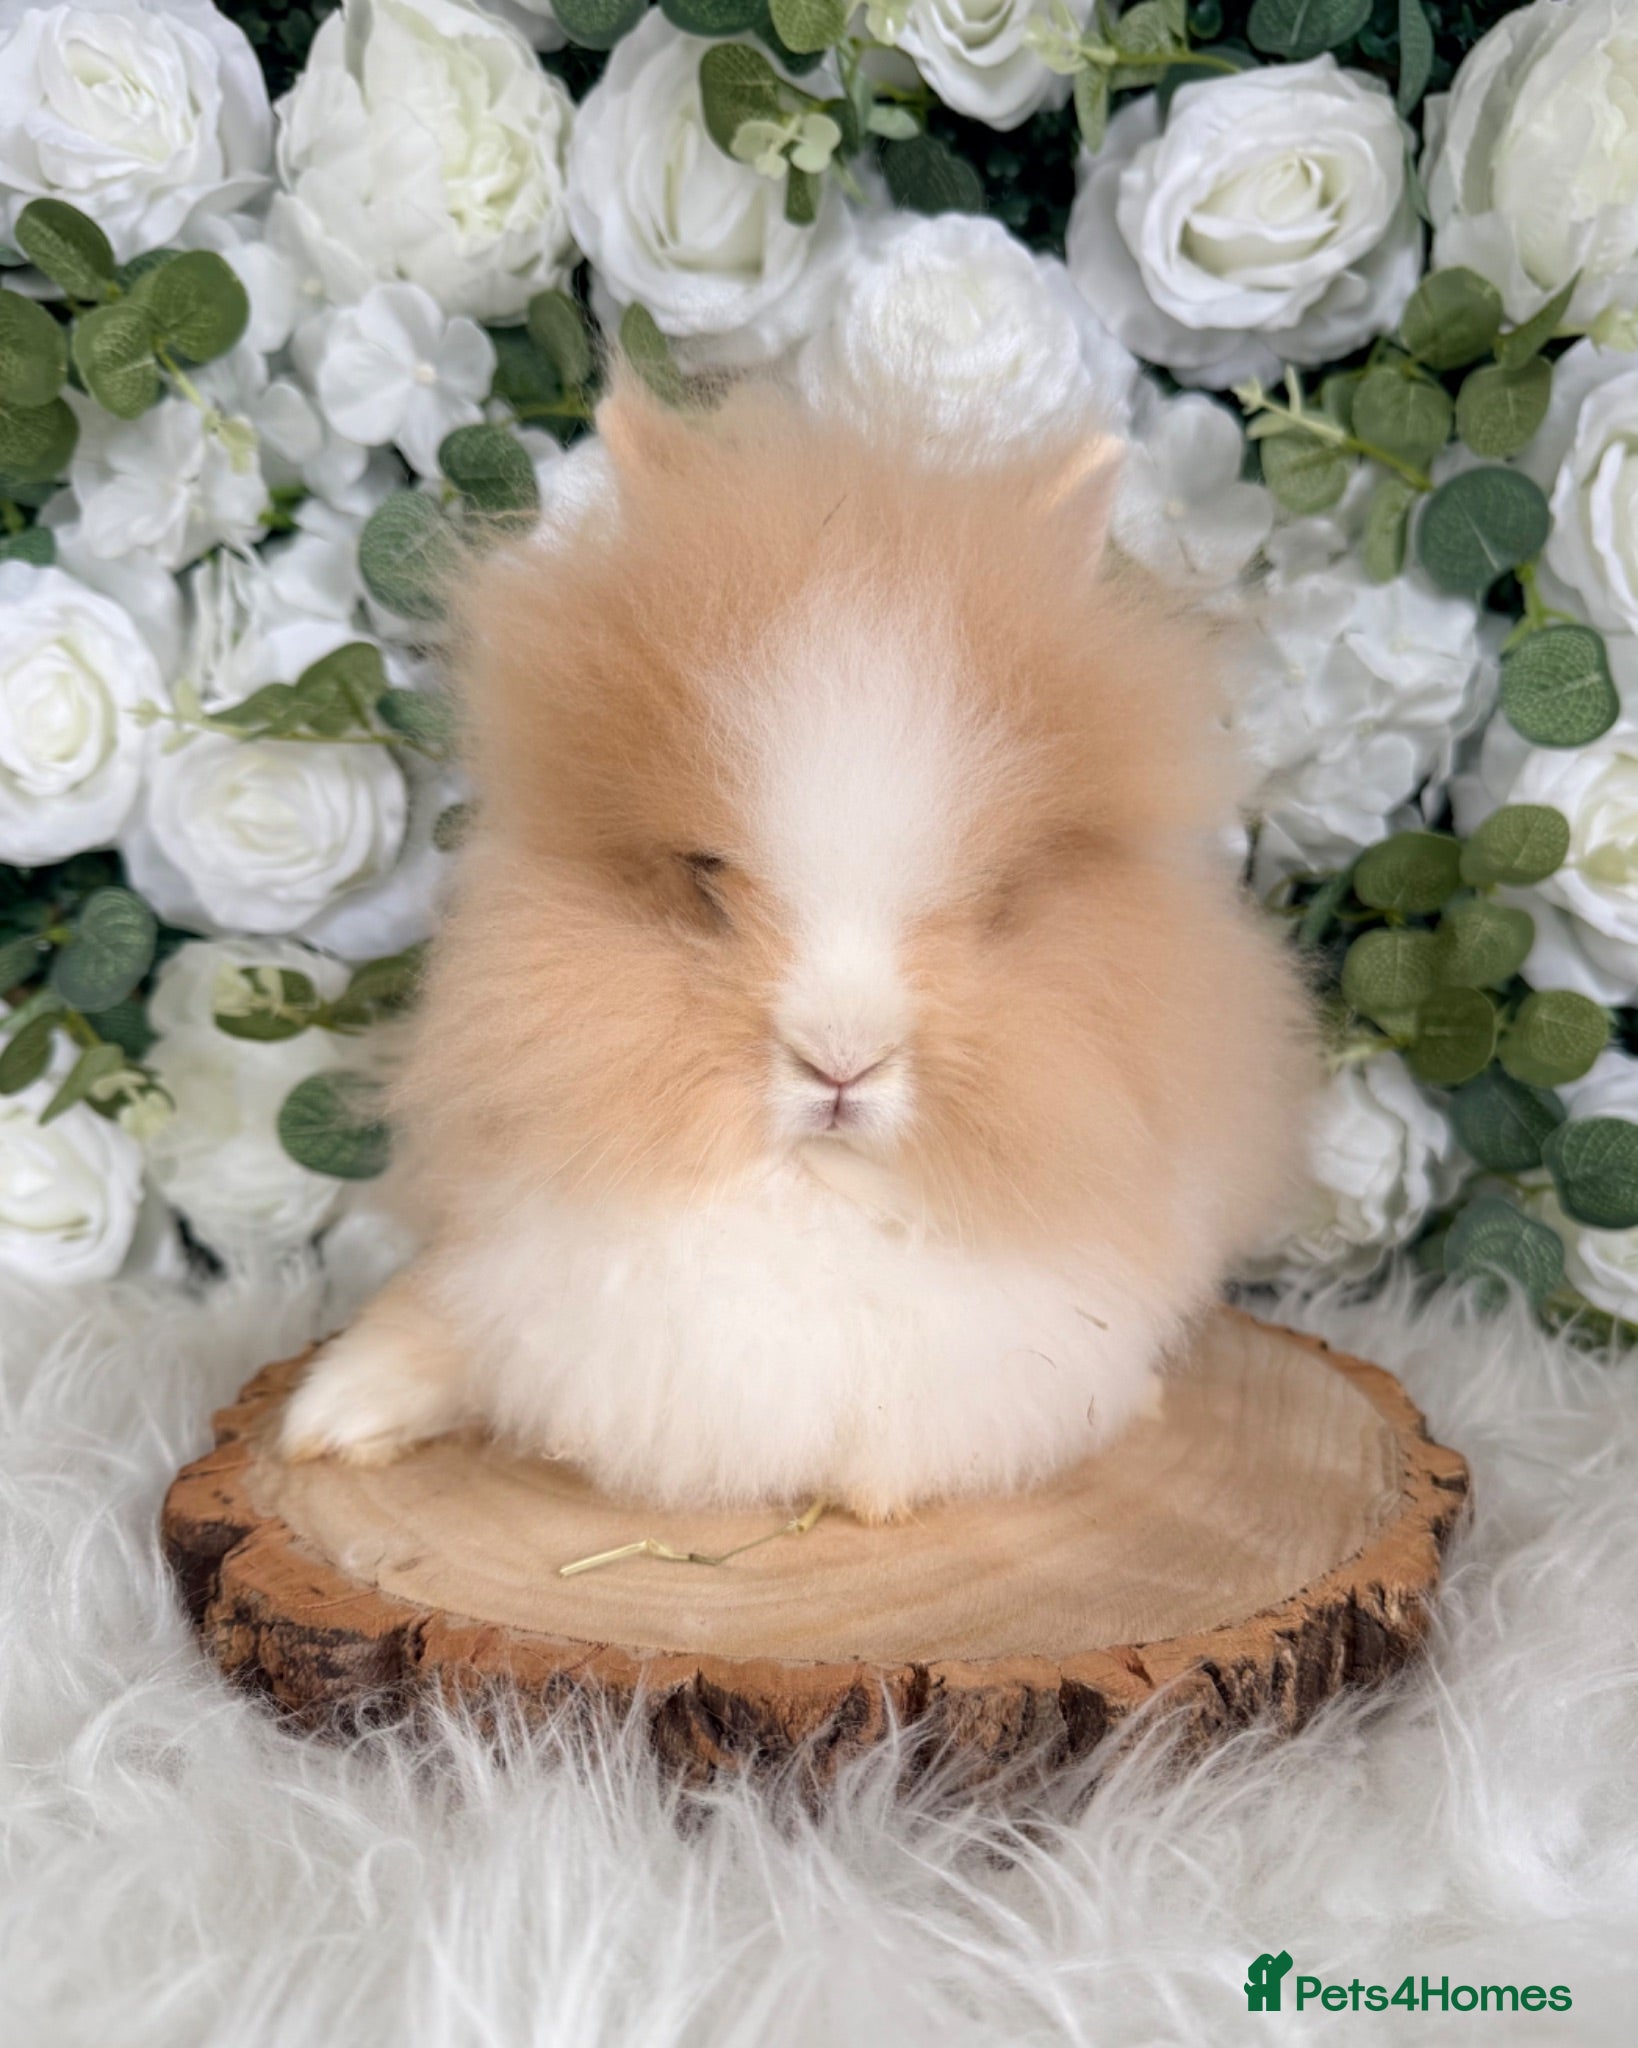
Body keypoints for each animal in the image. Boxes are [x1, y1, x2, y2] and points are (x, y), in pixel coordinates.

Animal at [279, 374, 1315, 1521]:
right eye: (703, 879)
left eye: (994, 897)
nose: (841, 1063)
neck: (816, 1202)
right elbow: (444, 1325)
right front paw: (330, 1418)